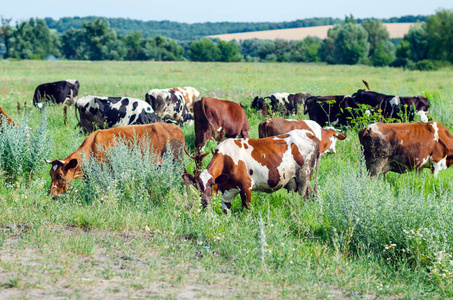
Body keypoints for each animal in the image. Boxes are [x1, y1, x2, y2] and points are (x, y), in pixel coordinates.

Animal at [182, 129, 320, 211]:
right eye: (196, 185)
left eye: (211, 184)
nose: (204, 201)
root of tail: (309, 134)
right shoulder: (227, 193)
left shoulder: (246, 186)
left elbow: (247, 209)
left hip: (304, 177)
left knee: (304, 197)